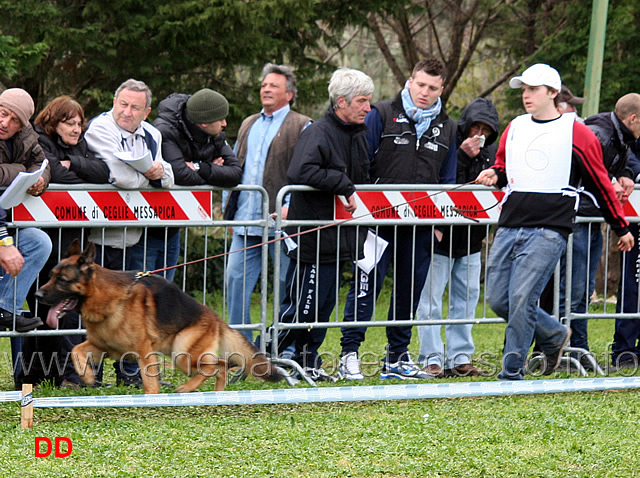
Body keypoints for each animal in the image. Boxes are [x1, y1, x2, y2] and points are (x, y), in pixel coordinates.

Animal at [34, 241, 280, 394]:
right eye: (51, 276)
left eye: (62, 280)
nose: (37, 295)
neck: (108, 298)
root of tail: (215, 317)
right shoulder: (102, 346)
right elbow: (76, 351)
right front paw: (86, 377)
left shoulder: (143, 351)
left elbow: (150, 383)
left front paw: (150, 398)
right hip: (180, 355)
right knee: (222, 365)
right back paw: (217, 394)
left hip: (182, 355)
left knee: (216, 366)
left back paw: (188, 389)